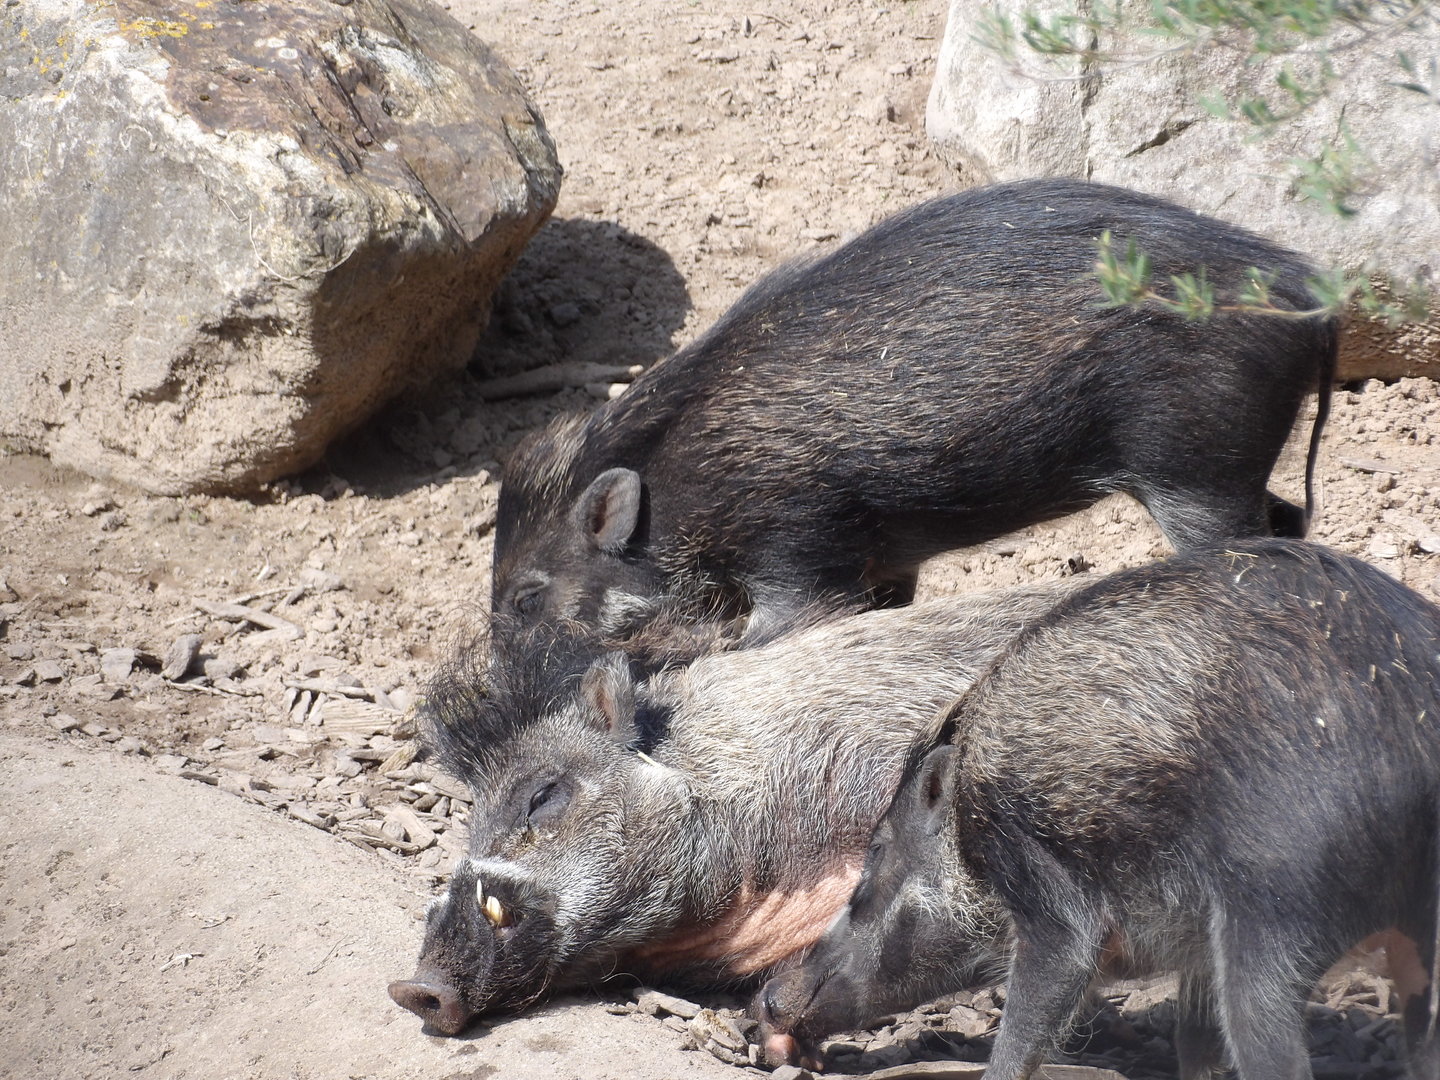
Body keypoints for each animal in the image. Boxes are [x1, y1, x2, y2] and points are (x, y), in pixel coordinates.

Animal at [492, 178, 1337, 659]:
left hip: (1196, 467)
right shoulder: (882, 564)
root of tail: (1306, 291)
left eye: (527, 598)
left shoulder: (798, 551)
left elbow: (765, 636)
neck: (677, 483)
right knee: (1291, 520)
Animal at [757, 538, 1440, 1080]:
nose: (764, 998)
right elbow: (1195, 1042)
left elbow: (1047, 988)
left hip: (1275, 911)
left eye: (874, 855)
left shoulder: (1038, 874)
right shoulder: (1196, 950)